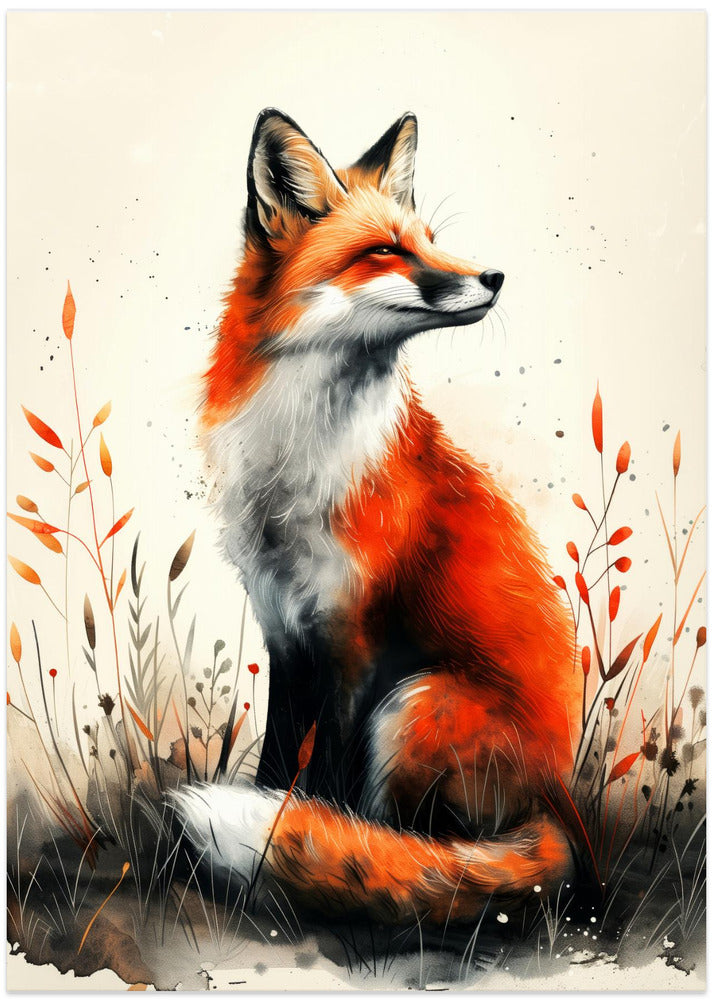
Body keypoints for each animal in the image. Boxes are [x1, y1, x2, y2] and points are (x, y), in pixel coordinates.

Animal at [173, 109, 581, 926]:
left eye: (431, 237)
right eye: (387, 250)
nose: (494, 277)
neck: (300, 463)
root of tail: (558, 807)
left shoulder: (353, 638)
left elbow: (326, 784)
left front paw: (298, 849)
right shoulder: (285, 625)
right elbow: (279, 761)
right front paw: (275, 830)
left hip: (414, 702)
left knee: (434, 843)